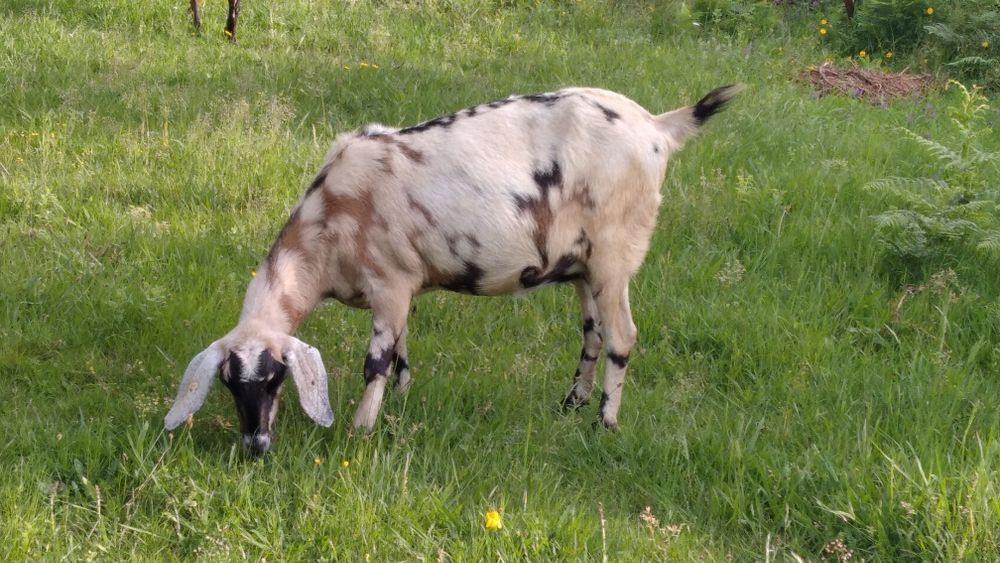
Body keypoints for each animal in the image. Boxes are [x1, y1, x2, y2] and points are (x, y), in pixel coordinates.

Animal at [164, 85, 742, 454]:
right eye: (228, 383)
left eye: (275, 376)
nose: (255, 444)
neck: (327, 225)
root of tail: (658, 127)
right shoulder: (403, 288)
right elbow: (401, 351)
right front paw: (399, 402)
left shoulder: (390, 282)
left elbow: (375, 362)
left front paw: (360, 431)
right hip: (581, 265)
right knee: (593, 332)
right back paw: (570, 405)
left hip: (615, 253)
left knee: (622, 336)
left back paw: (605, 423)